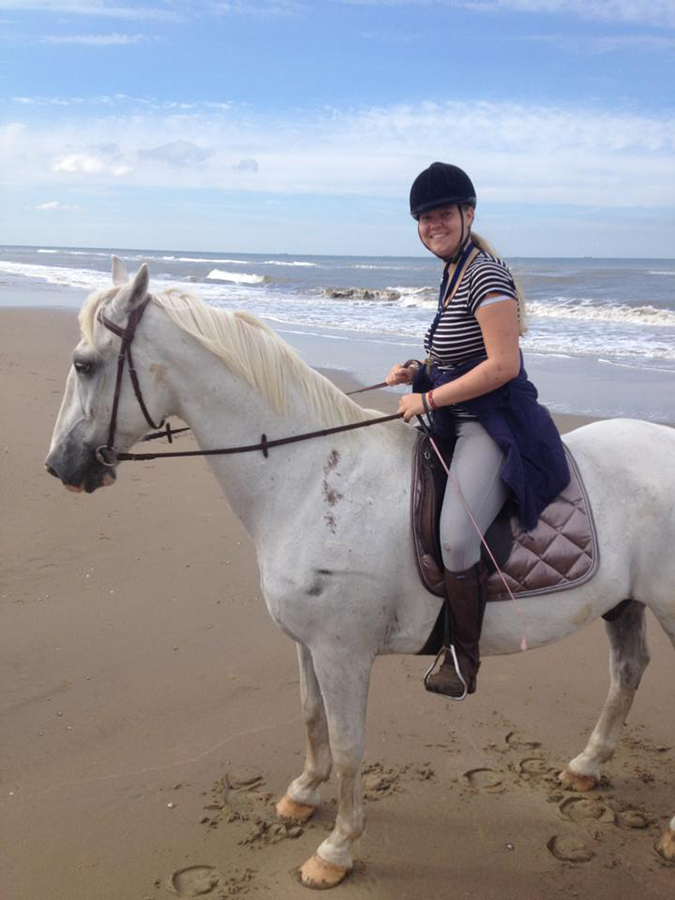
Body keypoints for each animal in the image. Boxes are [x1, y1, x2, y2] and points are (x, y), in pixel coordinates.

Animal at [47, 260, 675, 884]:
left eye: (84, 364)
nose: (59, 467)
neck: (310, 477)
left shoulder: (342, 652)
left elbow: (349, 745)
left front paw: (336, 849)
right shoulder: (307, 644)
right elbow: (310, 717)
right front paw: (303, 794)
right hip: (624, 602)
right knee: (627, 671)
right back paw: (587, 766)